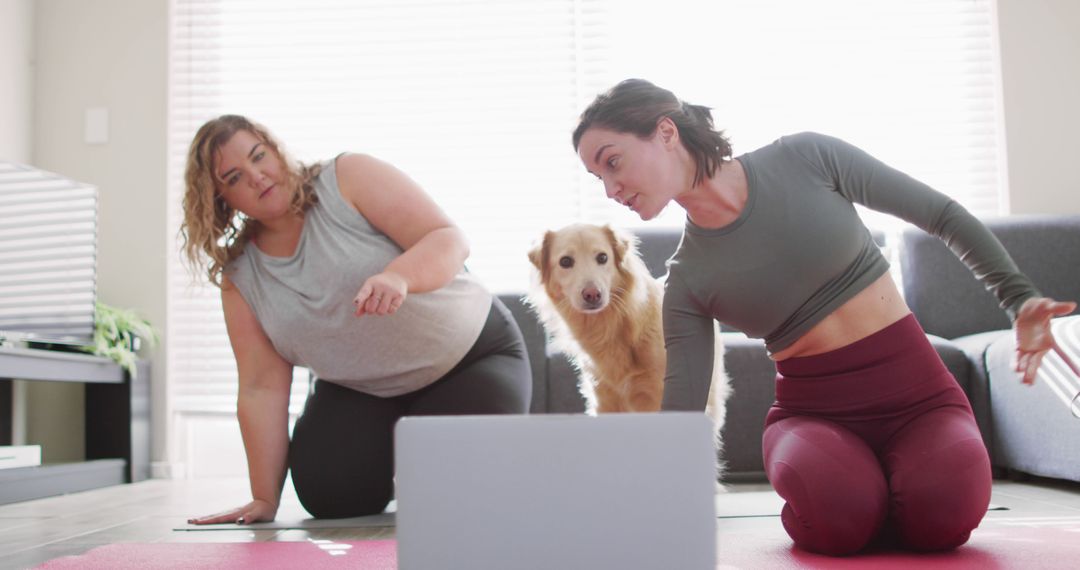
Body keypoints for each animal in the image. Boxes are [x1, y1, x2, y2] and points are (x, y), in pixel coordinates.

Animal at [524, 221, 730, 477]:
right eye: (565, 261)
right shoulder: (605, 401)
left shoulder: (660, 396)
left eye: (602, 257)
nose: (592, 294)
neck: (616, 327)